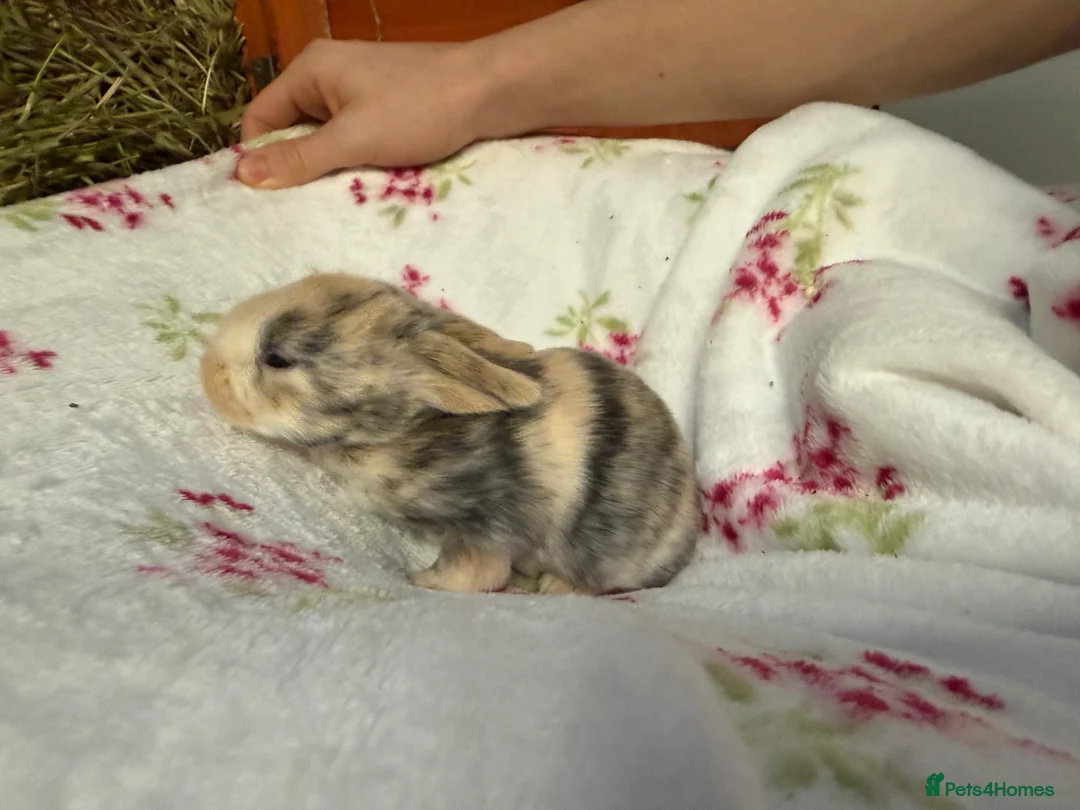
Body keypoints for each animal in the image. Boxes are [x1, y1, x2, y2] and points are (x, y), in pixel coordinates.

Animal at [200, 272, 699, 595]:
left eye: (278, 358)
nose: (207, 370)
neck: (404, 430)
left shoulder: (484, 526)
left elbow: (477, 573)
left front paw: (420, 581)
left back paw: (555, 588)